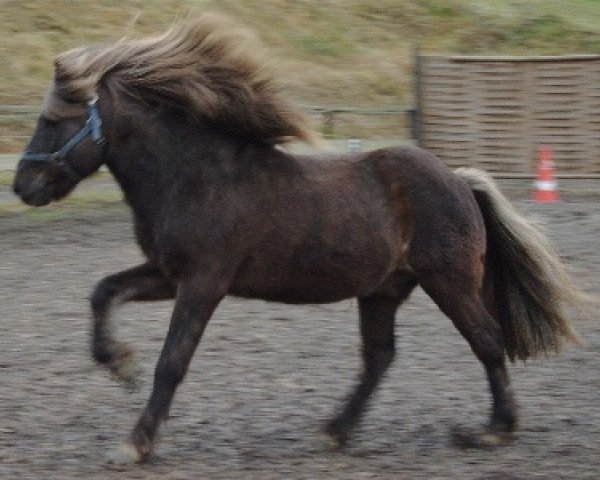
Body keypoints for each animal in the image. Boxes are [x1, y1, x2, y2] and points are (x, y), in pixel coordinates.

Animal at [12, 15, 584, 464]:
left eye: (54, 119)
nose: (22, 186)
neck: (194, 176)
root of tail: (460, 181)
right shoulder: (168, 273)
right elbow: (103, 292)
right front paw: (119, 364)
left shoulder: (203, 282)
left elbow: (172, 362)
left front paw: (136, 442)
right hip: (383, 290)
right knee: (380, 357)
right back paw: (335, 431)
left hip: (449, 280)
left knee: (486, 340)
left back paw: (492, 431)